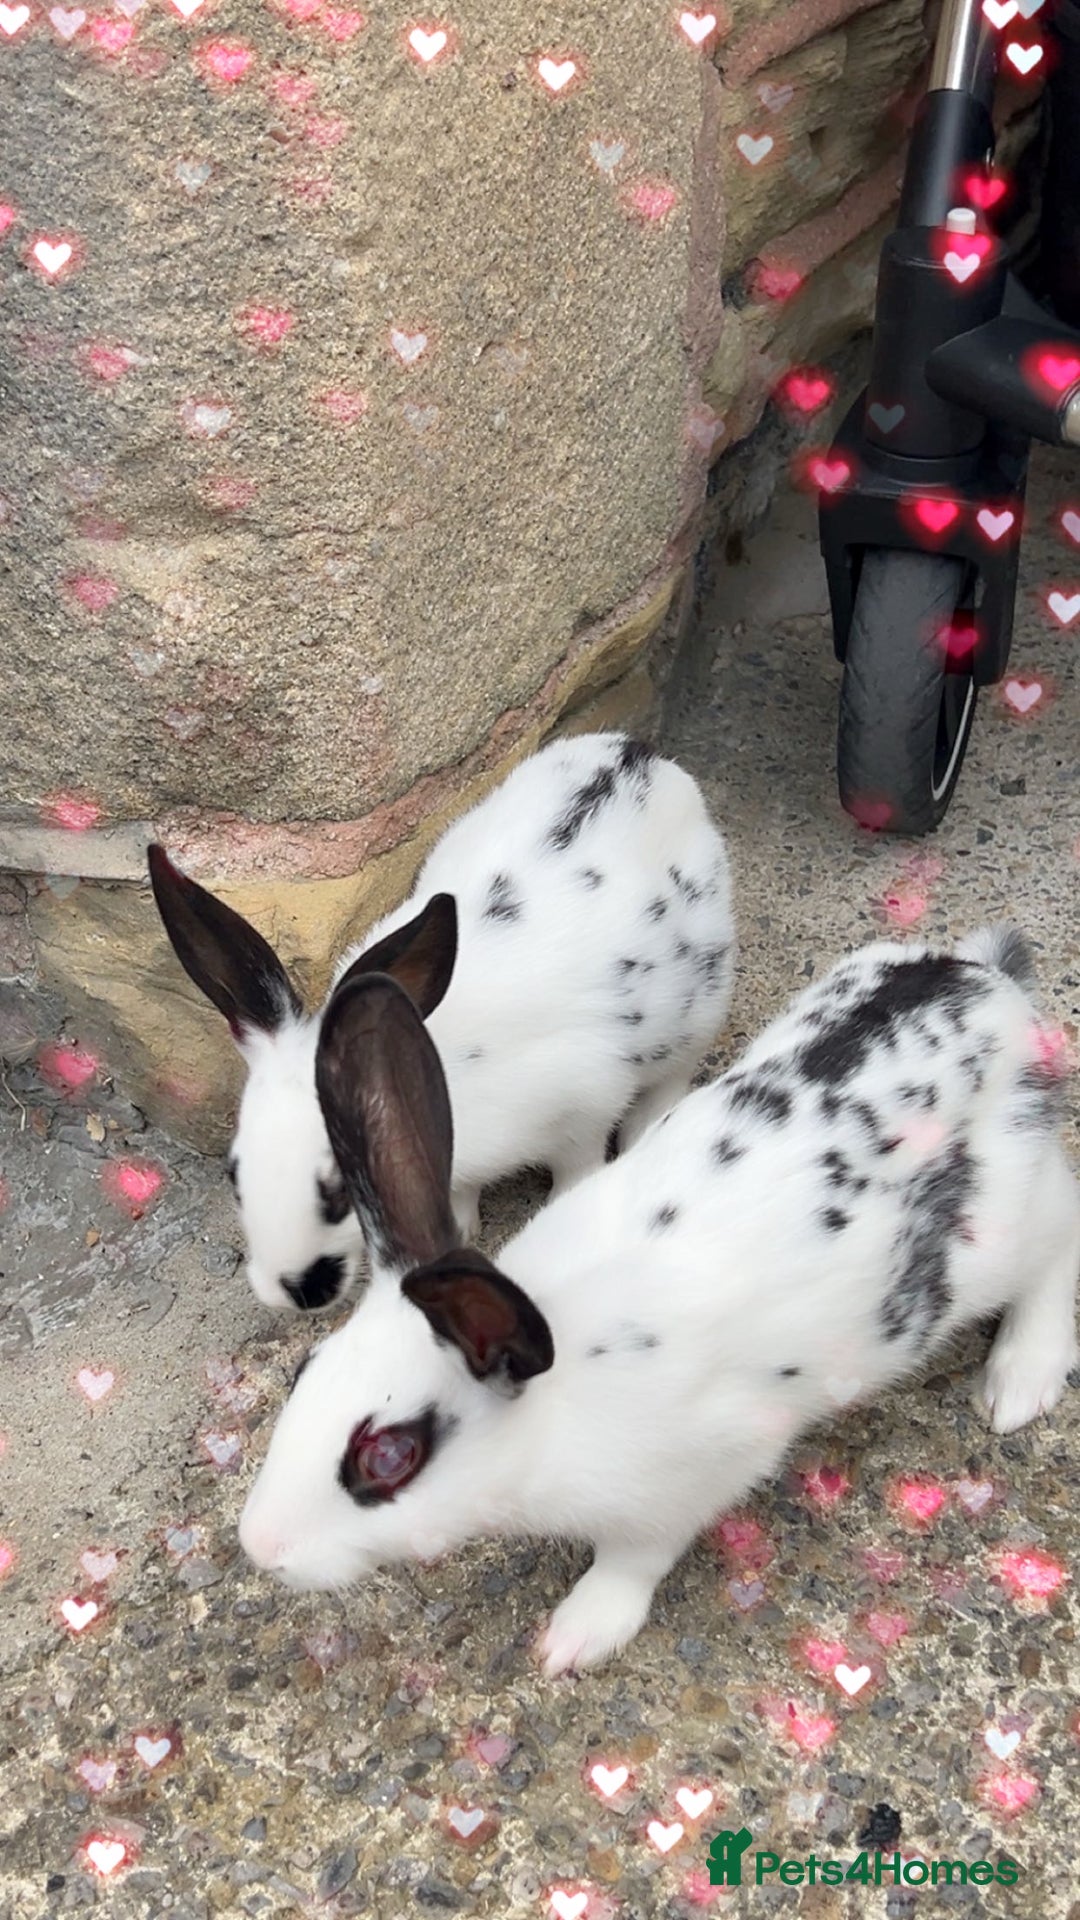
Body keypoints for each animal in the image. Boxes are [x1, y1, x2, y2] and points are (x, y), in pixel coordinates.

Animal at [148, 732, 734, 1313]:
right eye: (234, 1173)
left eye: (338, 1190)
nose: (290, 1291)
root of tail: (641, 758)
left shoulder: (585, 1111)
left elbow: (577, 1170)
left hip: (698, 1016)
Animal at [238, 924, 1080, 1675]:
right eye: (304, 1372)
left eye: (389, 1456)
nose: (260, 1547)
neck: (559, 1399)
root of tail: (995, 995)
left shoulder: (691, 1484)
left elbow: (633, 1562)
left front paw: (574, 1638)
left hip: (1002, 1233)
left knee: (1060, 1233)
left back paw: (1017, 1386)